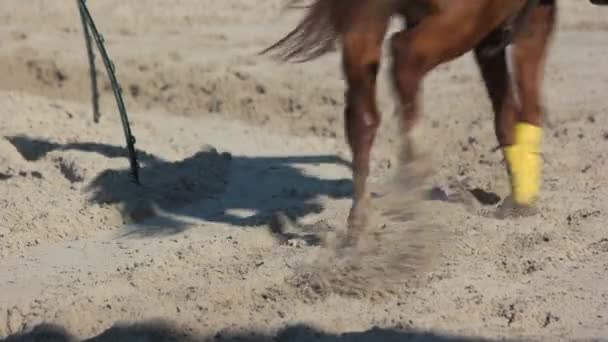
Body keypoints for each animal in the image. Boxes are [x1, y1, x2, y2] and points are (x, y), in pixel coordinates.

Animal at [262, 0, 556, 246]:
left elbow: (506, 112)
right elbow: (528, 105)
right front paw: (522, 202)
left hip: (367, 21)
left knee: (363, 116)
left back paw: (360, 221)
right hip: (466, 18)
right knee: (406, 54)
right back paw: (415, 173)